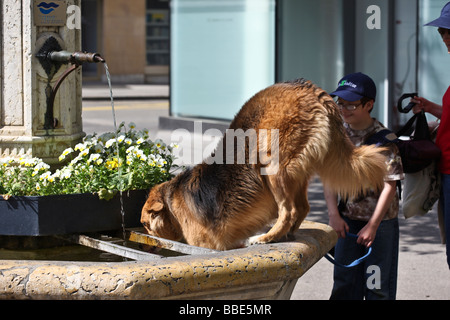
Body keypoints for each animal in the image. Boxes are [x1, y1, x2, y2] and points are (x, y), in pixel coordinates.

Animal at [141, 79, 386, 250]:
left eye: (144, 224)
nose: (146, 239)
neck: (172, 199)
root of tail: (309, 88)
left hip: (272, 165)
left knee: (288, 210)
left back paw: (264, 238)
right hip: (297, 171)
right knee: (302, 208)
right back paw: (284, 235)